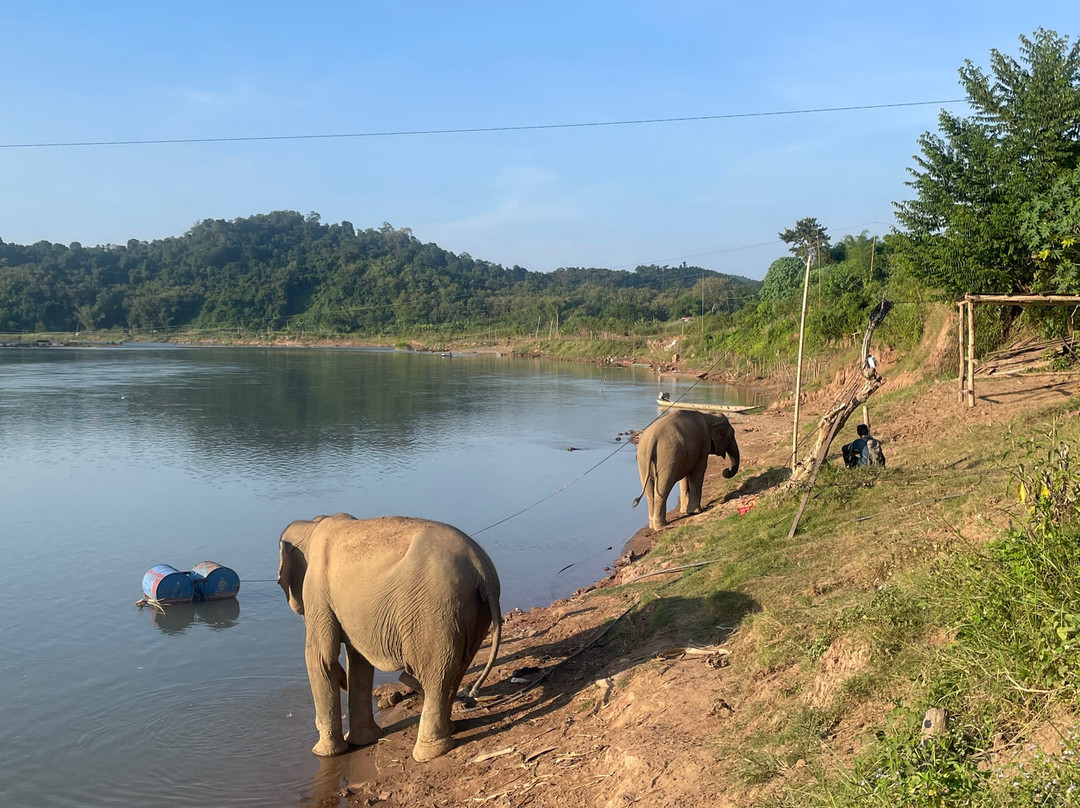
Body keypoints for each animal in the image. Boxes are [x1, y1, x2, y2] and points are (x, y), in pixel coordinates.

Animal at [277, 513, 502, 762]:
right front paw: (363, 740)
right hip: (470, 613)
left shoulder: (316, 591)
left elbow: (320, 658)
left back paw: (426, 753)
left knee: (436, 674)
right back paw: (447, 728)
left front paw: (324, 753)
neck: (312, 524)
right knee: (454, 670)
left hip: (435, 611)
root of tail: (481, 567)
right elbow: (359, 662)